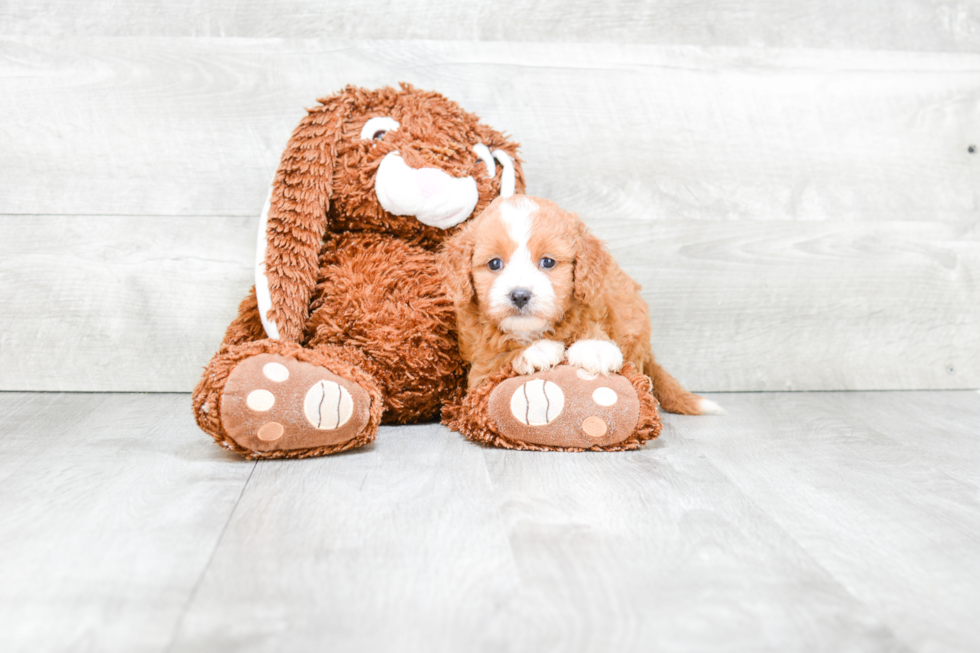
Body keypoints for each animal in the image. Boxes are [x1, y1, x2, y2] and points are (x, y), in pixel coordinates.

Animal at [444, 195, 720, 418]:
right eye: (494, 264)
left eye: (547, 262)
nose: (520, 295)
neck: (531, 330)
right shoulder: (478, 369)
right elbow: (498, 360)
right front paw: (536, 351)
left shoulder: (592, 306)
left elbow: (591, 327)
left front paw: (595, 349)